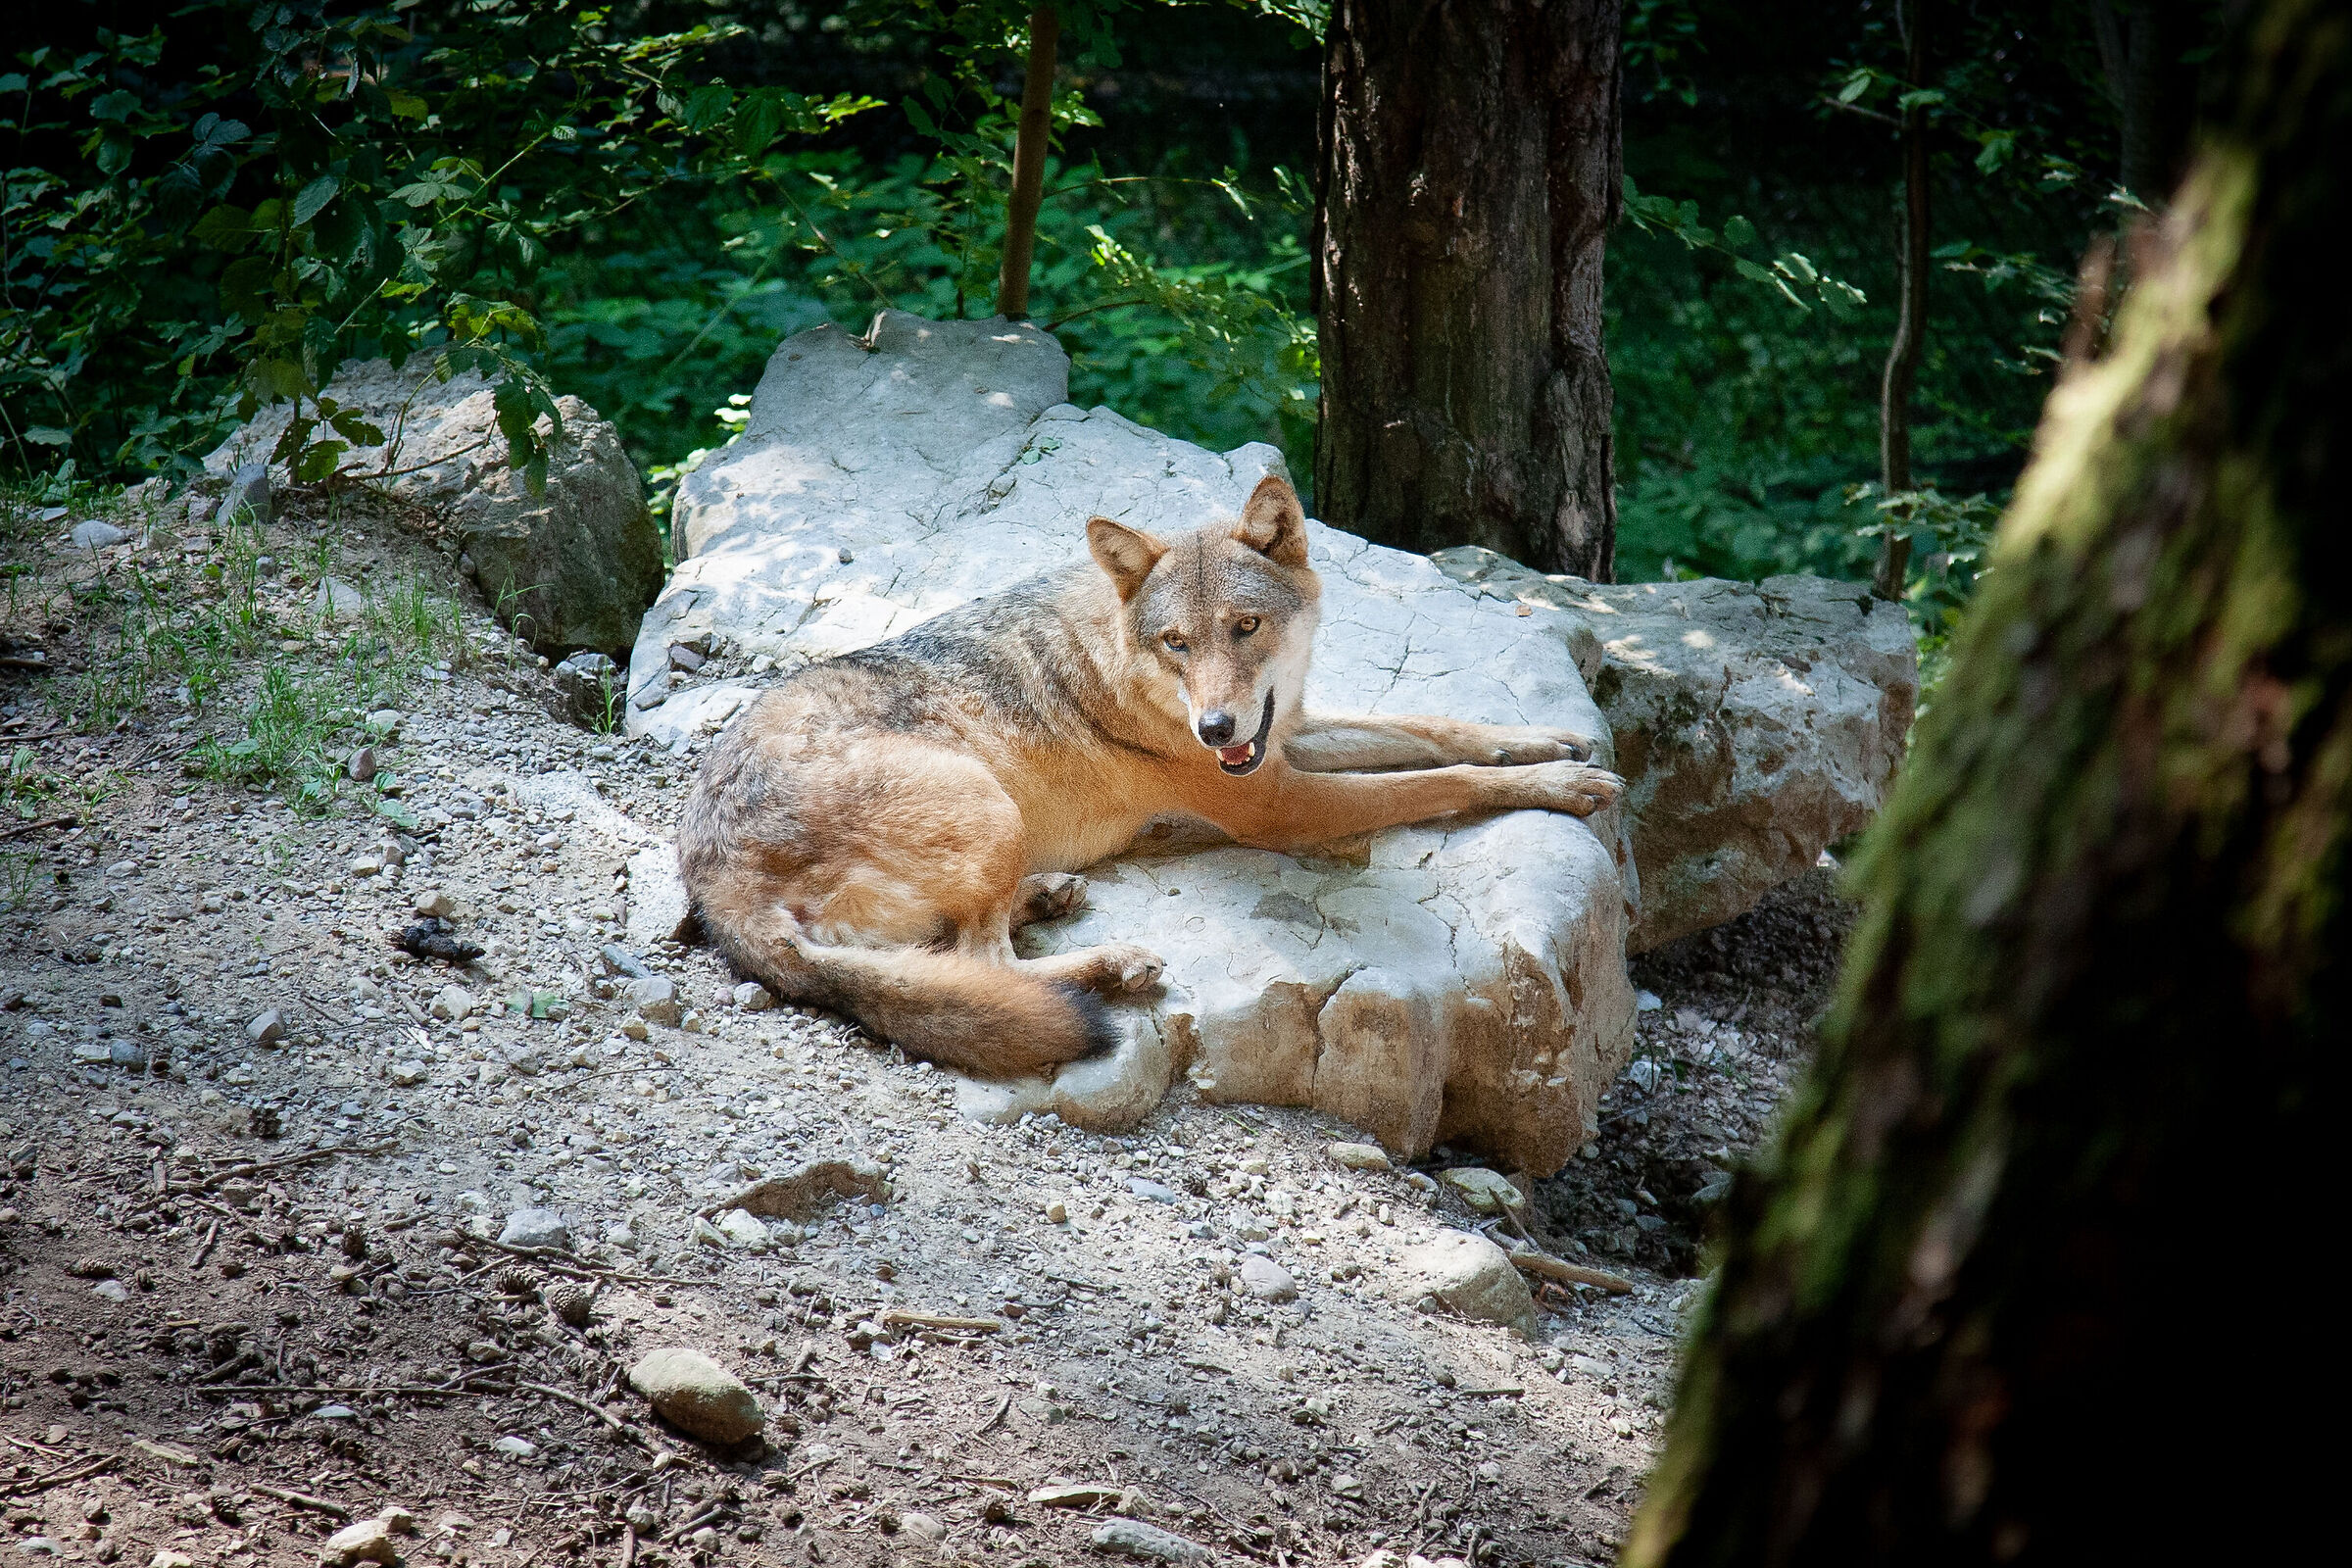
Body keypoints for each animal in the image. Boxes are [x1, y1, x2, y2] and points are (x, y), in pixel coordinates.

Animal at [678, 475, 1622, 1079]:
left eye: (1245, 627)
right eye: (1177, 643)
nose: (1215, 729)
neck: (1124, 661)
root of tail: (710, 875)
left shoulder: (1287, 739)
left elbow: (1436, 729)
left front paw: (1548, 742)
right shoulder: (1279, 801)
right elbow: (1441, 781)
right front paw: (1563, 788)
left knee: (956, 954)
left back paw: (1051, 895)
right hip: (985, 801)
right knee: (988, 964)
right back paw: (1113, 963)